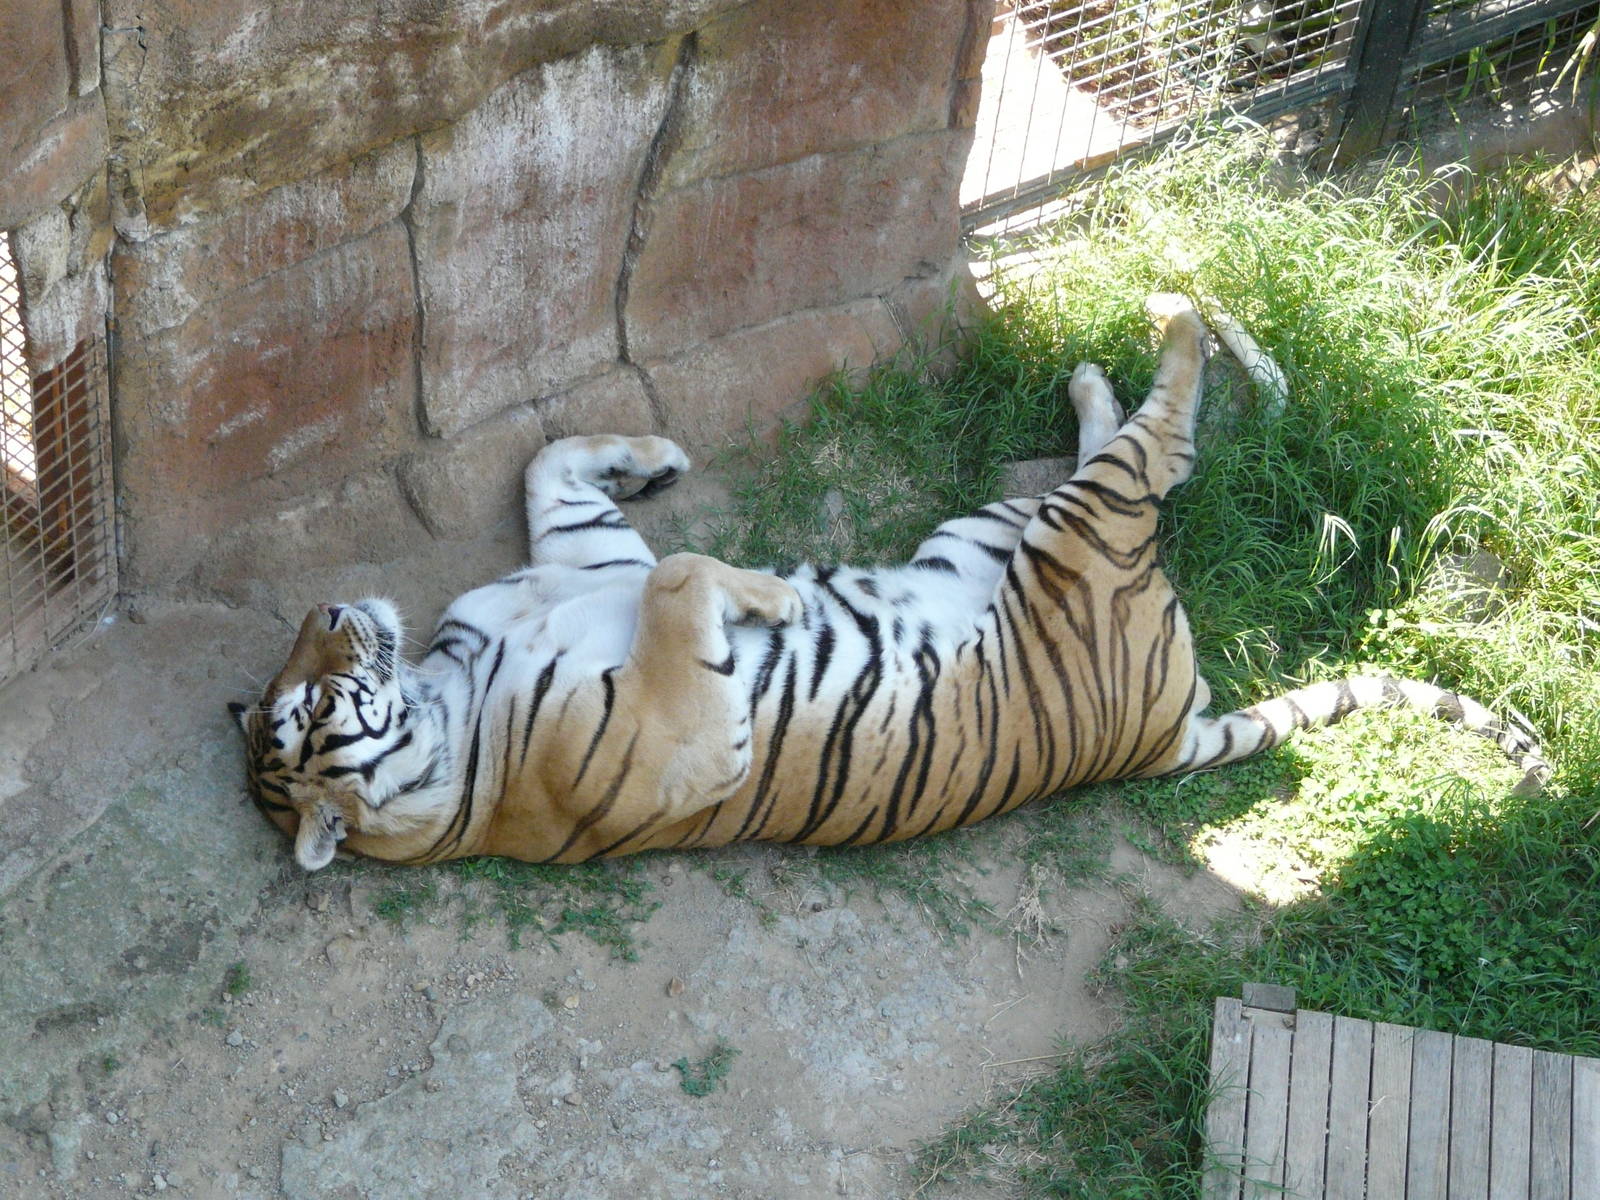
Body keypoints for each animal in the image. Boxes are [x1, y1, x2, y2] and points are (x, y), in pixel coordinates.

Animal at [231, 299, 1549, 871]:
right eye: (306, 705)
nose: (331, 610)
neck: (448, 693)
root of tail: (1160, 733)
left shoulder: (583, 552)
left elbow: (551, 458)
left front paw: (660, 455)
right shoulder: (688, 734)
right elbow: (683, 584)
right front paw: (768, 598)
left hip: (993, 530)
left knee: (1129, 440)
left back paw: (1113, 358)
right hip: (1079, 544)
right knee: (1159, 449)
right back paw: (1175, 308)